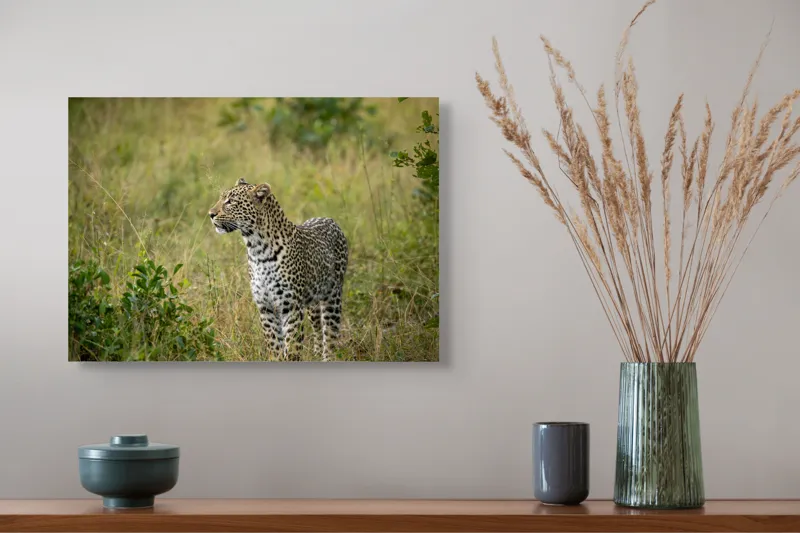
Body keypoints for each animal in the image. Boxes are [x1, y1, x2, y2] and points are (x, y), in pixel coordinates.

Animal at [208, 177, 348, 361]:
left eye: (230, 201)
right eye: (221, 198)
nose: (210, 214)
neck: (257, 249)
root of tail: (330, 220)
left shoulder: (291, 307)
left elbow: (293, 347)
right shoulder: (265, 307)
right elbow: (274, 345)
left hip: (332, 296)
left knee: (330, 334)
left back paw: (328, 357)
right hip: (312, 302)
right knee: (318, 327)